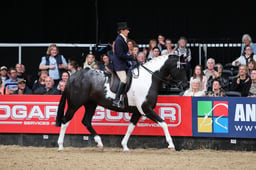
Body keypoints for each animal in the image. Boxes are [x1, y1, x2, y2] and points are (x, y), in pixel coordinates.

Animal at [56, 53, 187, 151]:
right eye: (181, 68)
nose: (185, 86)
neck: (149, 79)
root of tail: (73, 77)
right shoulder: (146, 109)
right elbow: (163, 123)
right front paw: (171, 145)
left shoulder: (138, 111)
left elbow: (130, 127)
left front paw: (124, 146)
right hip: (74, 104)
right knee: (65, 120)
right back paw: (61, 145)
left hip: (91, 104)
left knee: (86, 121)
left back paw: (99, 143)